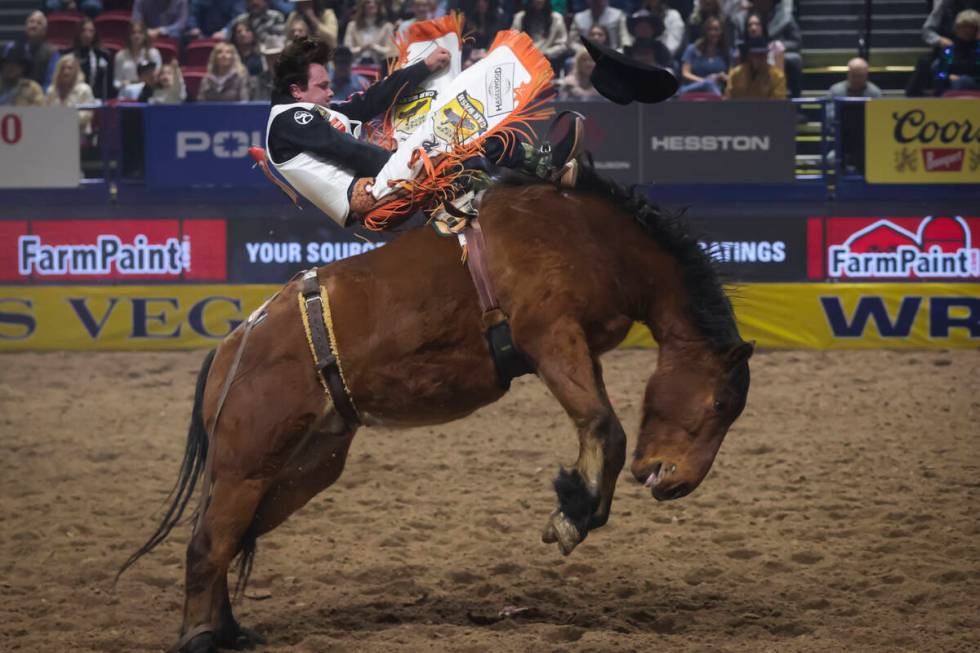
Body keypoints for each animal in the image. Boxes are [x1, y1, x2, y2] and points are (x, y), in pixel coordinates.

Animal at [120, 164, 752, 652]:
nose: (676, 482)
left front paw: (580, 507)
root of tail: (231, 346)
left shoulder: (576, 349)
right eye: (721, 401)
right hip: (246, 465)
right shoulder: (550, 336)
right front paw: (572, 516)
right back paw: (201, 636)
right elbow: (605, 427)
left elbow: (599, 428)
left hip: (303, 467)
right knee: (208, 543)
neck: (589, 235)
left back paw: (229, 632)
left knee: (230, 536)